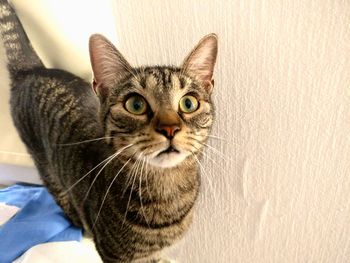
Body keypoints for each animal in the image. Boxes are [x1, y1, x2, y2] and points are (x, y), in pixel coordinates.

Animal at [0, 1, 217, 262]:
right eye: (135, 105)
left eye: (189, 103)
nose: (170, 128)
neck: (167, 192)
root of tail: (32, 70)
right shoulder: (115, 255)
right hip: (45, 167)